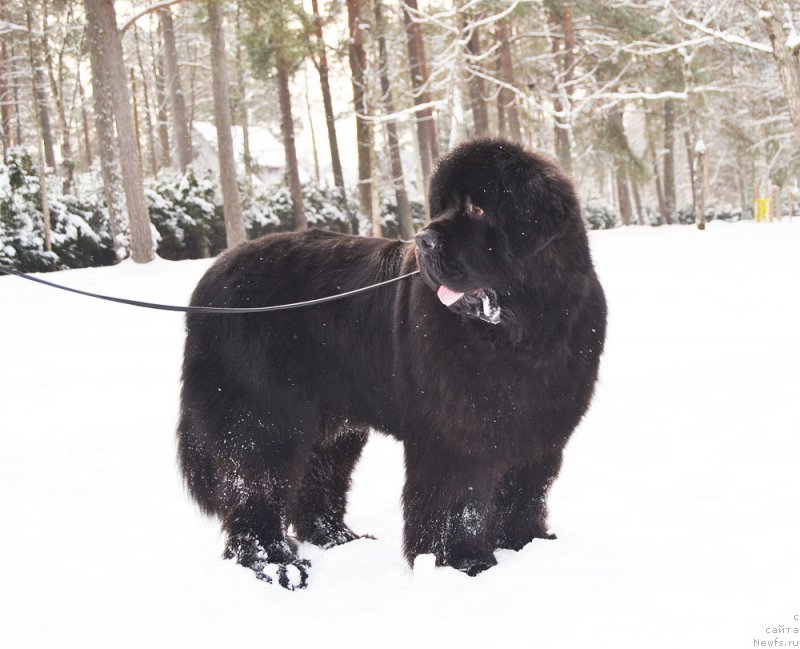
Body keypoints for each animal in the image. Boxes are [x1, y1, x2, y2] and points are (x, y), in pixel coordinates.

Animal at [178, 139, 608, 588]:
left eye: (477, 209)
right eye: (442, 208)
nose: (423, 239)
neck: (521, 334)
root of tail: (209, 279)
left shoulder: (539, 432)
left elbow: (524, 493)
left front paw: (526, 544)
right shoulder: (453, 440)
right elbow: (456, 505)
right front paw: (462, 563)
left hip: (333, 426)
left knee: (315, 480)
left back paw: (338, 538)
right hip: (262, 419)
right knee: (255, 491)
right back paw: (276, 563)